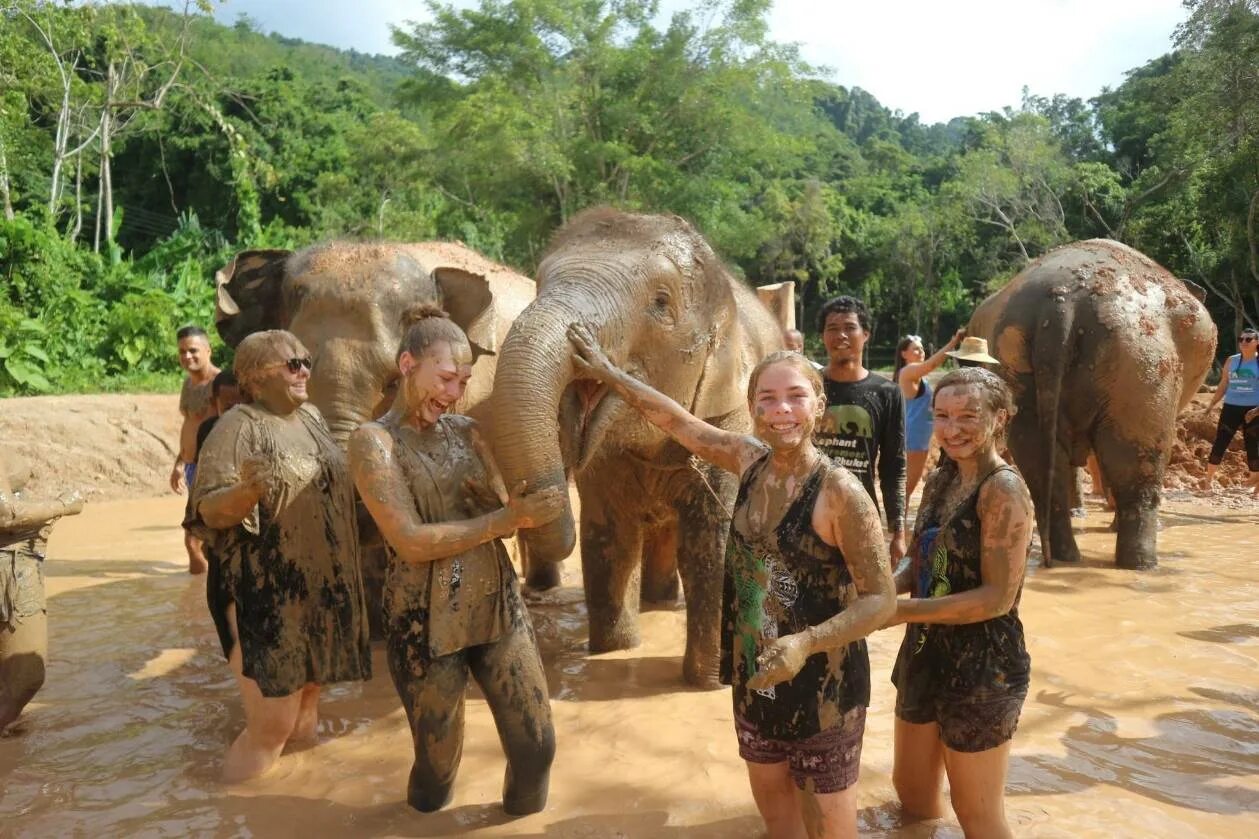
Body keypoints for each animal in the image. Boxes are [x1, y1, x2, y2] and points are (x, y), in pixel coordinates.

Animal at [483, 205, 785, 685]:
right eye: (540, 285)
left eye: (661, 303)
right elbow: (608, 537)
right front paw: (615, 651)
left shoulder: (731, 417)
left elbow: (712, 544)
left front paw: (707, 683)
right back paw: (656, 603)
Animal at [961, 240, 1218, 569]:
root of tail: (1060, 303)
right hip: (1140, 363)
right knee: (1138, 462)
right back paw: (1141, 564)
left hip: (1013, 357)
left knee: (1040, 459)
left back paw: (1064, 558)